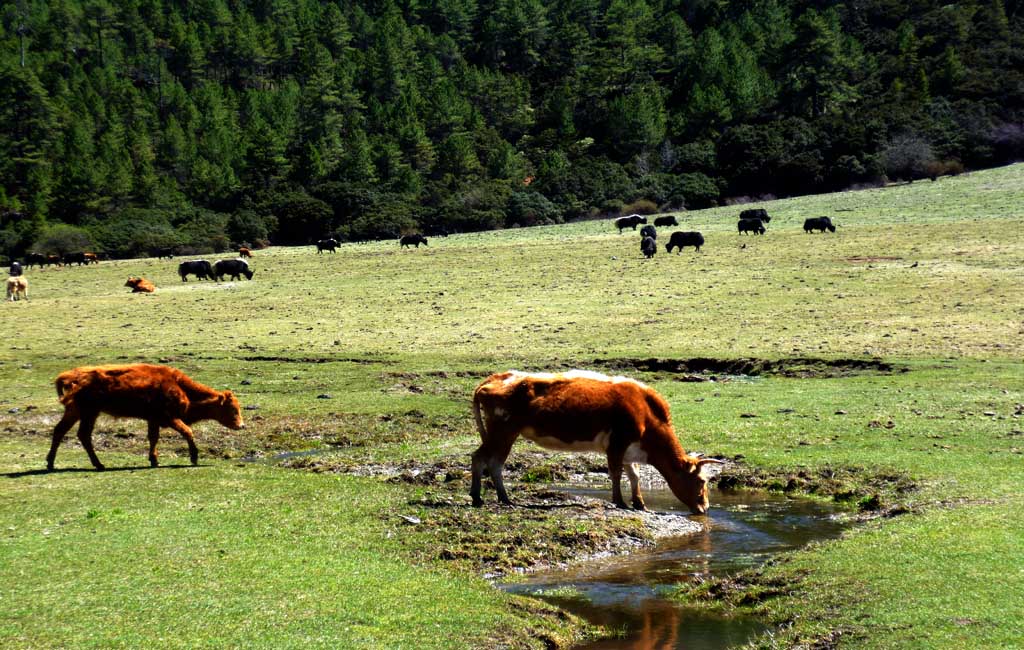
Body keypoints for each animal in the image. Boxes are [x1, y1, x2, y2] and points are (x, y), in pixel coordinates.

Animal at [47, 364, 243, 470]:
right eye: (233, 409)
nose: (241, 426)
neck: (179, 385)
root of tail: (70, 376)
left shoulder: (153, 419)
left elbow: (153, 437)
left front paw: (154, 460)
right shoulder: (169, 417)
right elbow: (188, 431)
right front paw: (194, 457)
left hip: (79, 413)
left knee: (64, 431)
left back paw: (53, 463)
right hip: (87, 413)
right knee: (81, 434)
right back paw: (97, 464)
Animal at [468, 370, 724, 513]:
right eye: (702, 481)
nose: (704, 508)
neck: (646, 413)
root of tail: (494, 378)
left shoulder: (629, 449)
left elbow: (634, 475)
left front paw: (640, 503)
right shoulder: (617, 443)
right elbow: (616, 473)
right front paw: (620, 502)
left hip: (502, 433)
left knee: (490, 461)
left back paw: (496, 497)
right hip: (503, 431)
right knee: (485, 460)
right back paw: (486, 497)